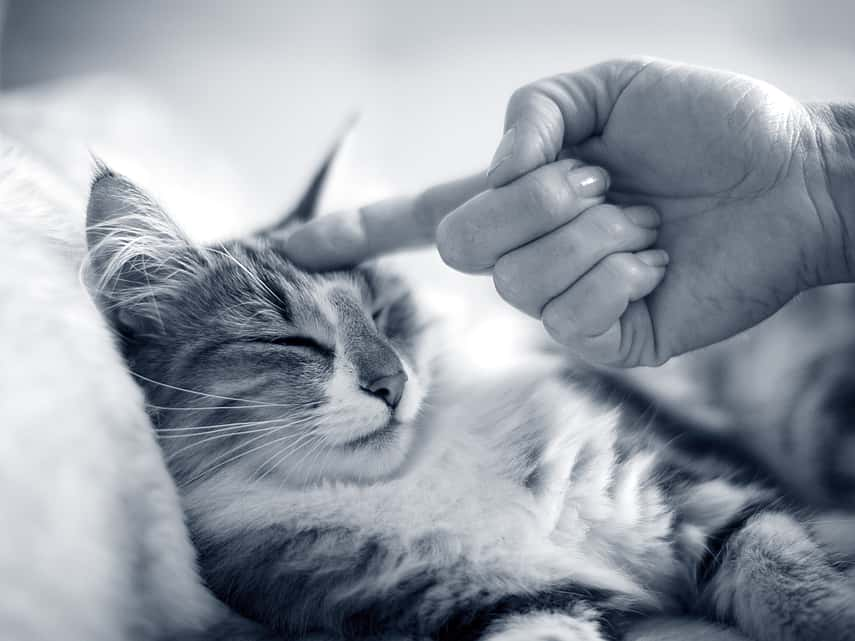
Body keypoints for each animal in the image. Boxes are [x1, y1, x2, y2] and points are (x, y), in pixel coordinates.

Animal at [85, 156, 855, 640]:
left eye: (384, 312)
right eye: (290, 341)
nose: (392, 382)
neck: (420, 477)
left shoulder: (697, 500)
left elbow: (793, 583)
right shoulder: (510, 602)